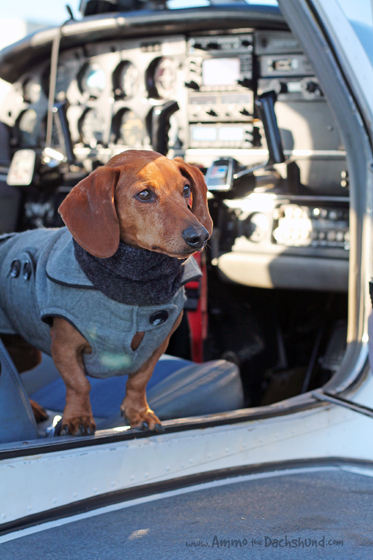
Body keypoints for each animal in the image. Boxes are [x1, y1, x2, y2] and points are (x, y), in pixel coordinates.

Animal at [0, 151, 212, 436]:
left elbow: (139, 380)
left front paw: (138, 412)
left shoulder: (158, 344)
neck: (132, 290)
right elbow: (78, 384)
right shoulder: (64, 347)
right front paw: (77, 418)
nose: (200, 236)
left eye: (186, 189)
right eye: (144, 195)